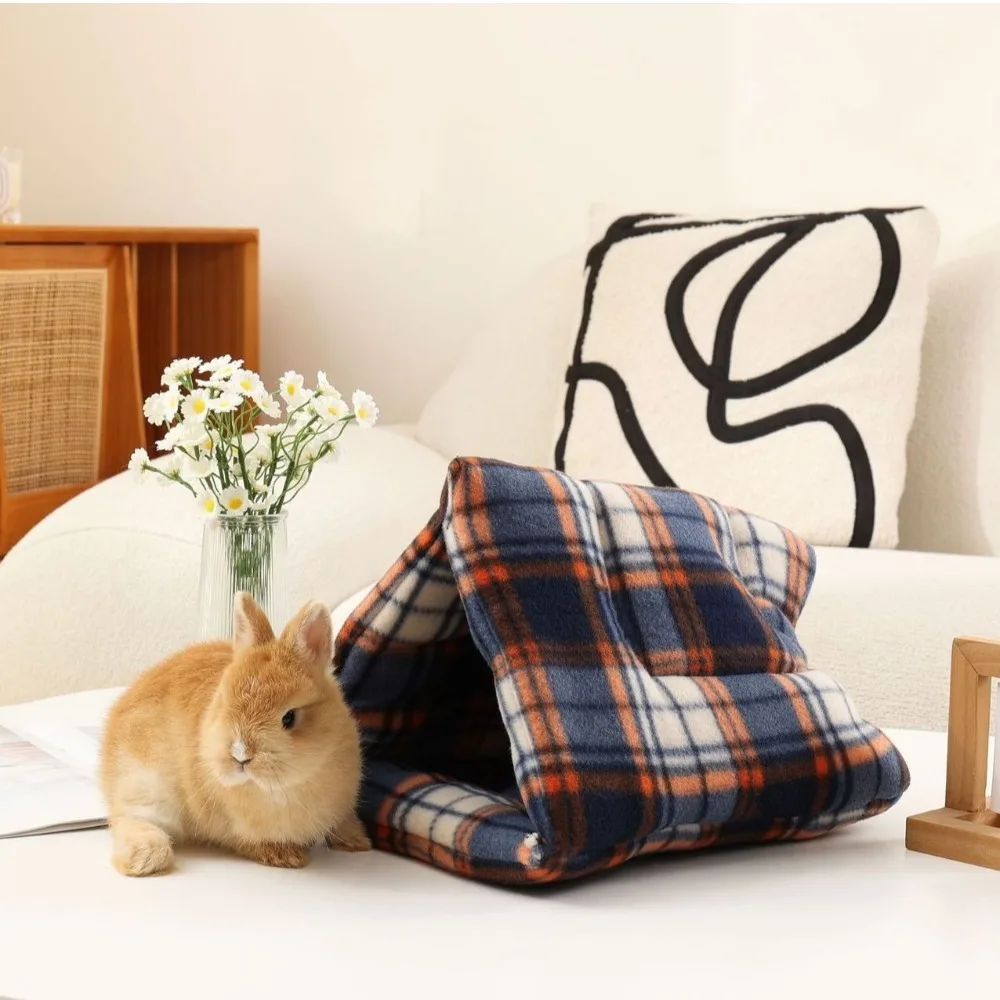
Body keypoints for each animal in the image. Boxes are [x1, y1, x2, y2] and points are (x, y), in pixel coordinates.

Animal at [99, 591, 371, 877]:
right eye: (223, 701)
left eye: (289, 717)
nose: (240, 755)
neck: (284, 788)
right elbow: (247, 841)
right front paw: (285, 856)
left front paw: (358, 842)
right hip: (145, 783)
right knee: (128, 819)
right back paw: (145, 858)